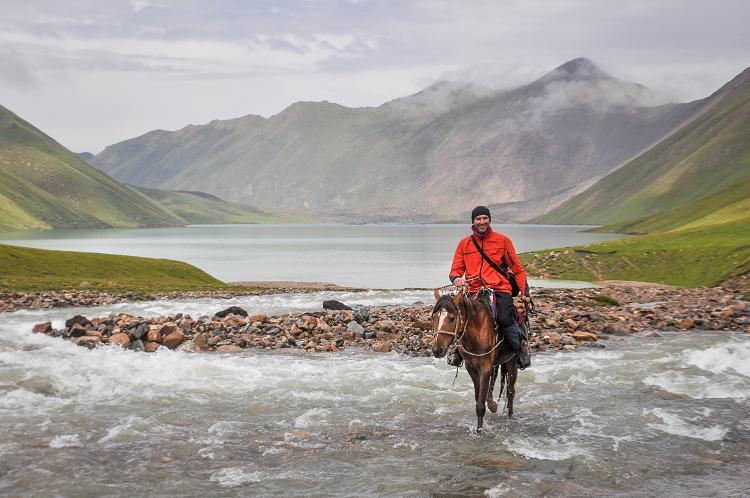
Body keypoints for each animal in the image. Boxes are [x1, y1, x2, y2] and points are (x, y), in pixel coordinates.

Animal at [432, 288, 520, 432]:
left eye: (451, 318)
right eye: (434, 317)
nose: (436, 350)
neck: (476, 331)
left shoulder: (485, 367)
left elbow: (480, 404)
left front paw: (479, 430)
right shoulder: (471, 367)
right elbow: (478, 397)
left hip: (511, 361)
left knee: (510, 391)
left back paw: (510, 416)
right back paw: (492, 404)